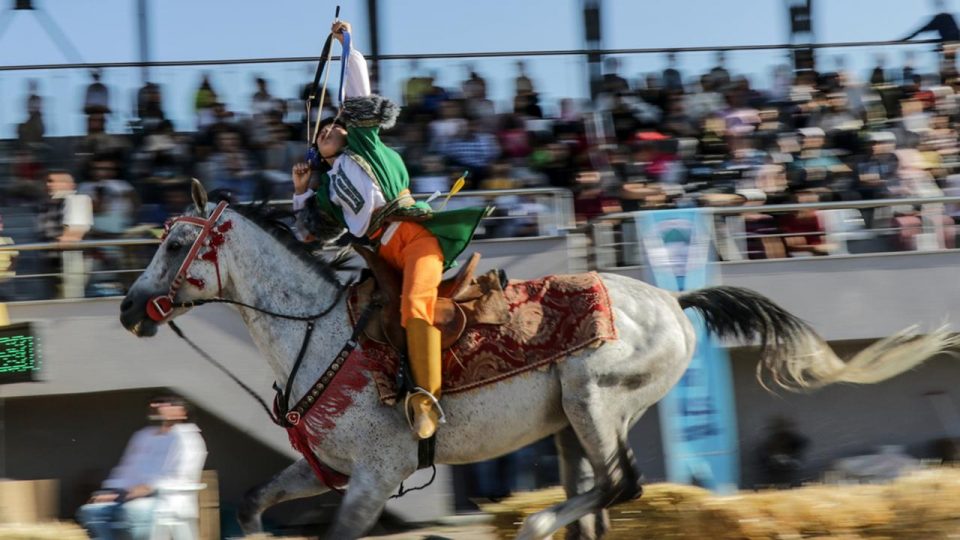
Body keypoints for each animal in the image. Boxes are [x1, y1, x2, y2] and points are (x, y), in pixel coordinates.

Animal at [122, 182, 960, 540]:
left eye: (175, 243)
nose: (129, 307)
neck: (319, 333)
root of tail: (672, 301)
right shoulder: (322, 468)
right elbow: (252, 501)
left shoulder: (371, 480)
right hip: (568, 426)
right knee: (600, 498)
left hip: (598, 402)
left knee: (621, 485)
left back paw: (531, 527)